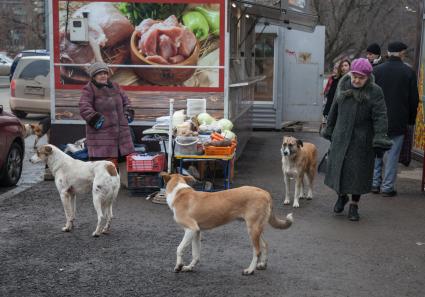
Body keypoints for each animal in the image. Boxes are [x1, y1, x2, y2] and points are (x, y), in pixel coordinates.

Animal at [159, 171, 292, 276]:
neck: (179, 193)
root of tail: (264, 192)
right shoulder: (196, 232)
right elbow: (196, 254)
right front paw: (189, 267)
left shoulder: (191, 229)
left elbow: (179, 248)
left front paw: (178, 266)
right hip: (256, 228)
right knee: (265, 245)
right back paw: (263, 265)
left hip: (252, 229)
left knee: (257, 251)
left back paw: (249, 270)